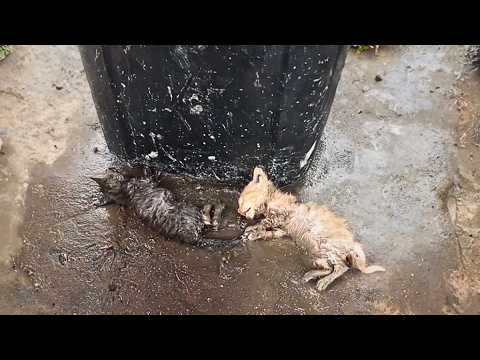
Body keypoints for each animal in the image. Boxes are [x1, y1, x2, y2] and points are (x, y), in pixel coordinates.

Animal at [91, 168, 244, 248]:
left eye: (110, 173)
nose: (112, 169)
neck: (124, 192)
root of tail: (193, 238)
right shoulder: (145, 182)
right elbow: (150, 176)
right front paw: (152, 169)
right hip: (190, 210)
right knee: (208, 217)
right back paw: (219, 206)